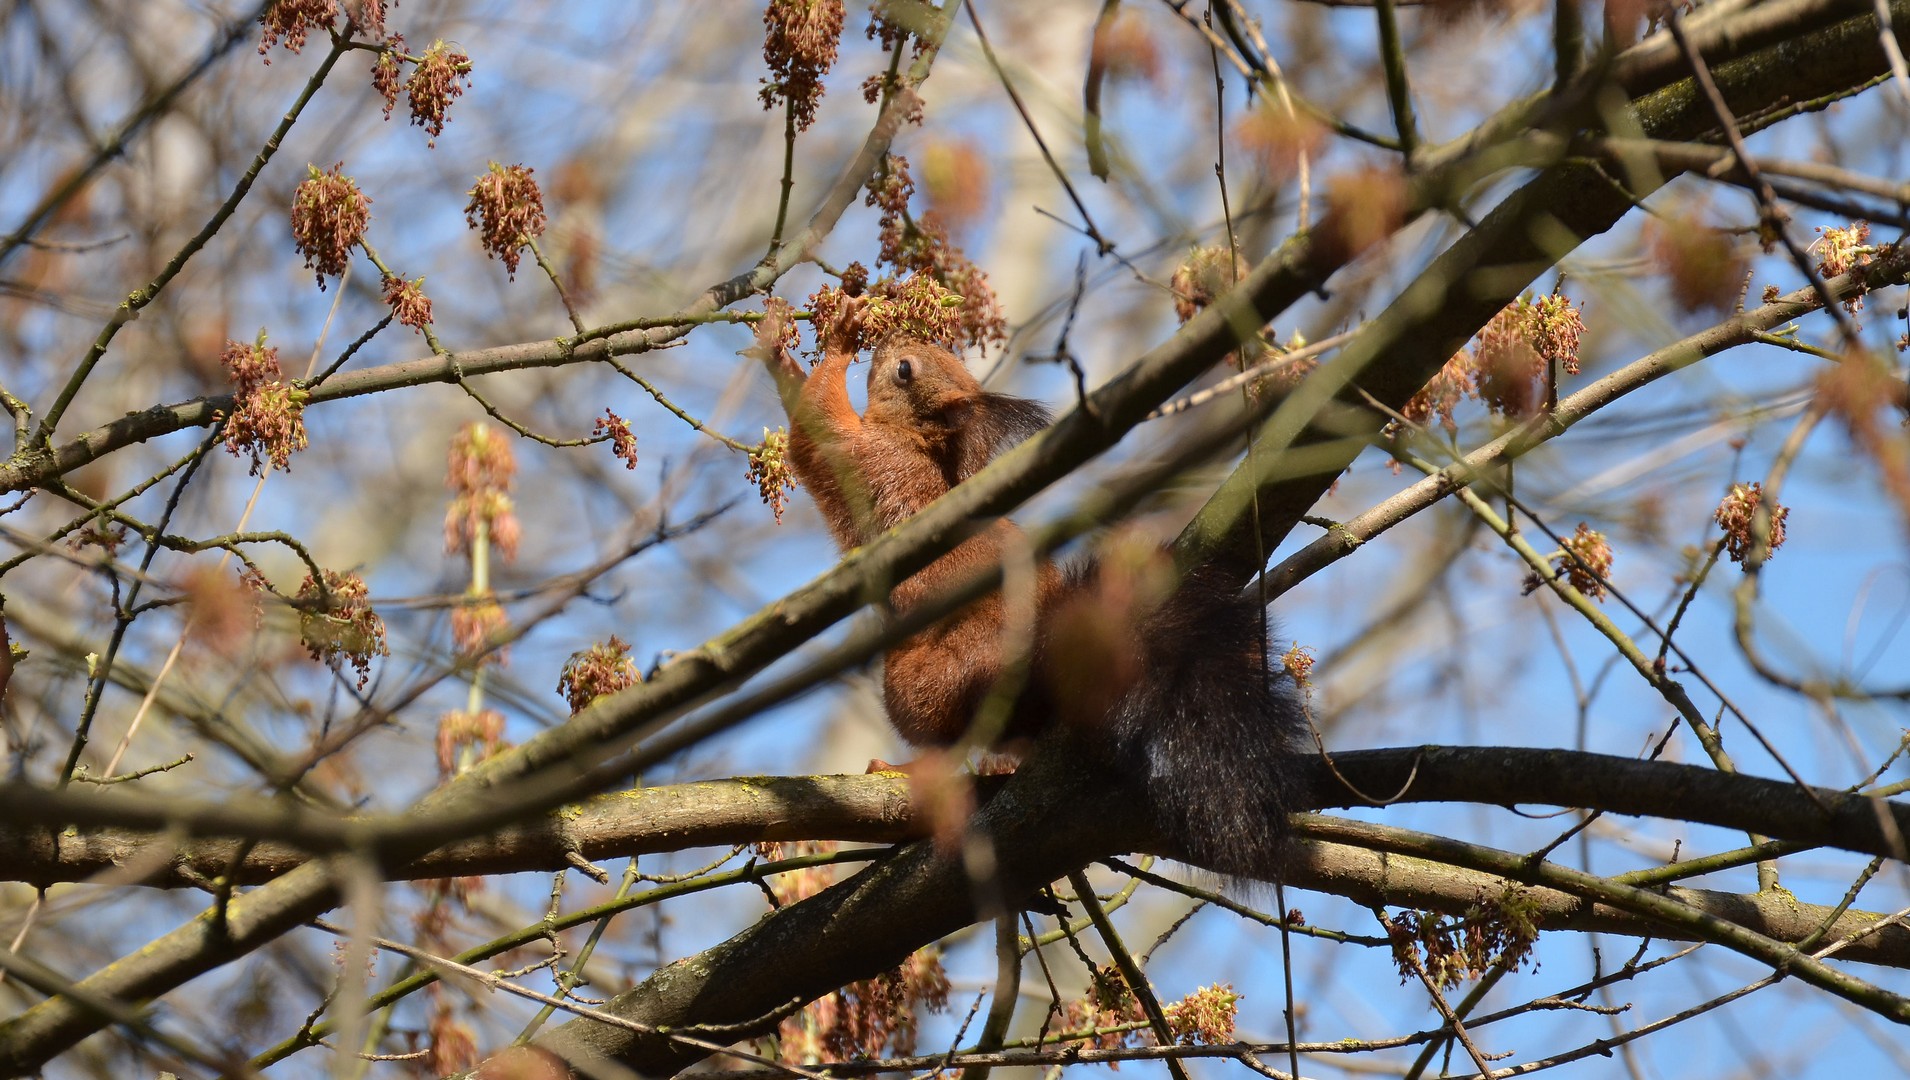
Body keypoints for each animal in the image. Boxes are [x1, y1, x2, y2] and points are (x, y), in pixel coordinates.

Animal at [757, 327, 1306, 881]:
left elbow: (818, 431)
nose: (891, 336)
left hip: (927, 682)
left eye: (905, 369)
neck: (919, 445)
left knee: (949, 736)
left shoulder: (870, 463)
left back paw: (907, 770)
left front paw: (830, 340)